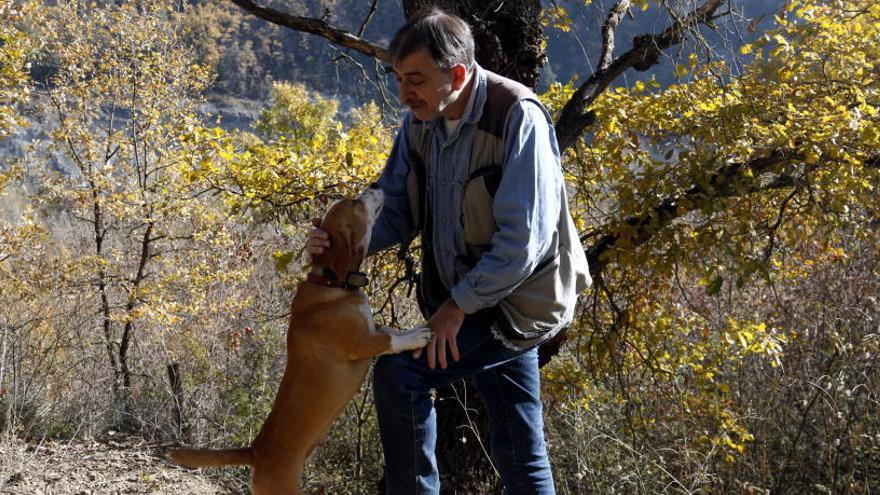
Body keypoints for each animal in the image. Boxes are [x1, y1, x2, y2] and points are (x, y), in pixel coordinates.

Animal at [168, 188, 430, 494]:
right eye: (355, 203)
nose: (377, 187)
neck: (330, 283)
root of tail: (255, 451)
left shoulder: (371, 327)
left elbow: (391, 330)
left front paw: (414, 330)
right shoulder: (362, 343)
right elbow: (390, 339)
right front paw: (418, 337)